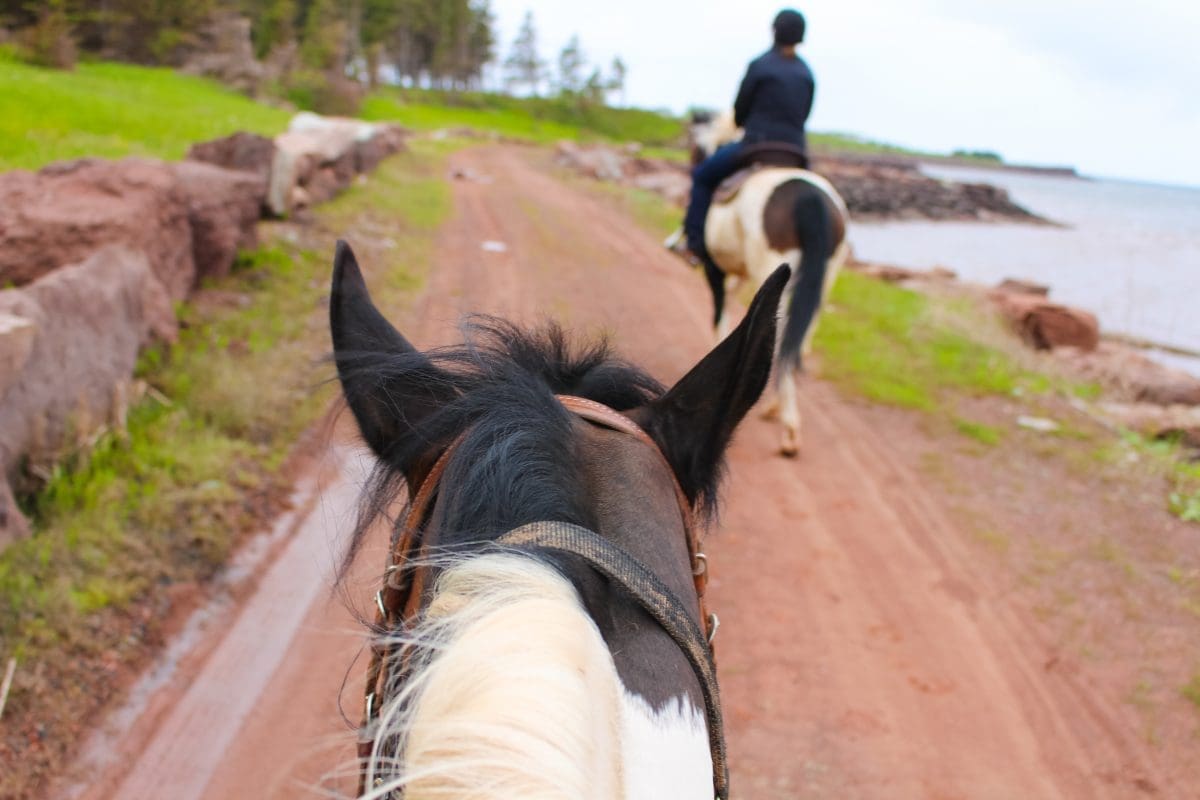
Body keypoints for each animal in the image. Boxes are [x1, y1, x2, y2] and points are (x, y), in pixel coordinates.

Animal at [681, 110, 849, 455]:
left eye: (692, 143)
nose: (691, 162)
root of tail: (810, 195)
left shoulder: (715, 269)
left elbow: (720, 316)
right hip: (821, 280)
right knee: (797, 336)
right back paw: (777, 408)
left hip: (772, 265)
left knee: (782, 332)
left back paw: (788, 425)